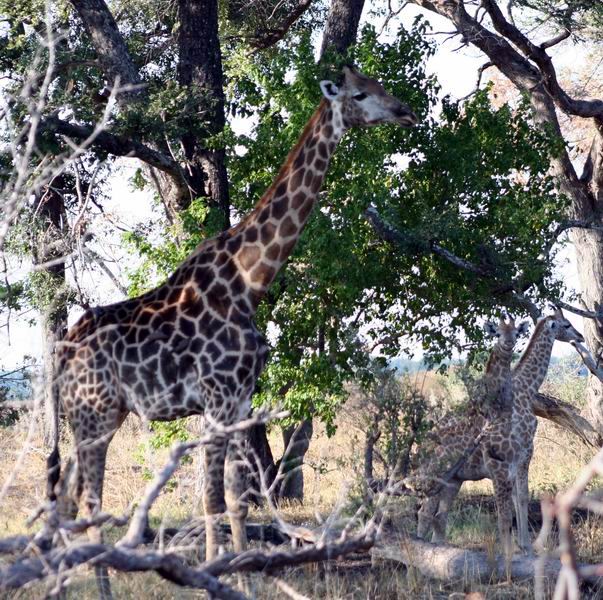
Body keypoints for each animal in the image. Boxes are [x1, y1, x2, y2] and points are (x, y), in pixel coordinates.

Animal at [418, 314, 584, 556]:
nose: (580, 336)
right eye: (567, 324)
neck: (526, 388)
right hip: (437, 476)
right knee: (425, 512)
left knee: (439, 517)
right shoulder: (521, 453)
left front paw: (524, 545)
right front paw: (521, 547)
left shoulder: (517, 457)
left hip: (454, 480)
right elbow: (517, 500)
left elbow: (519, 498)